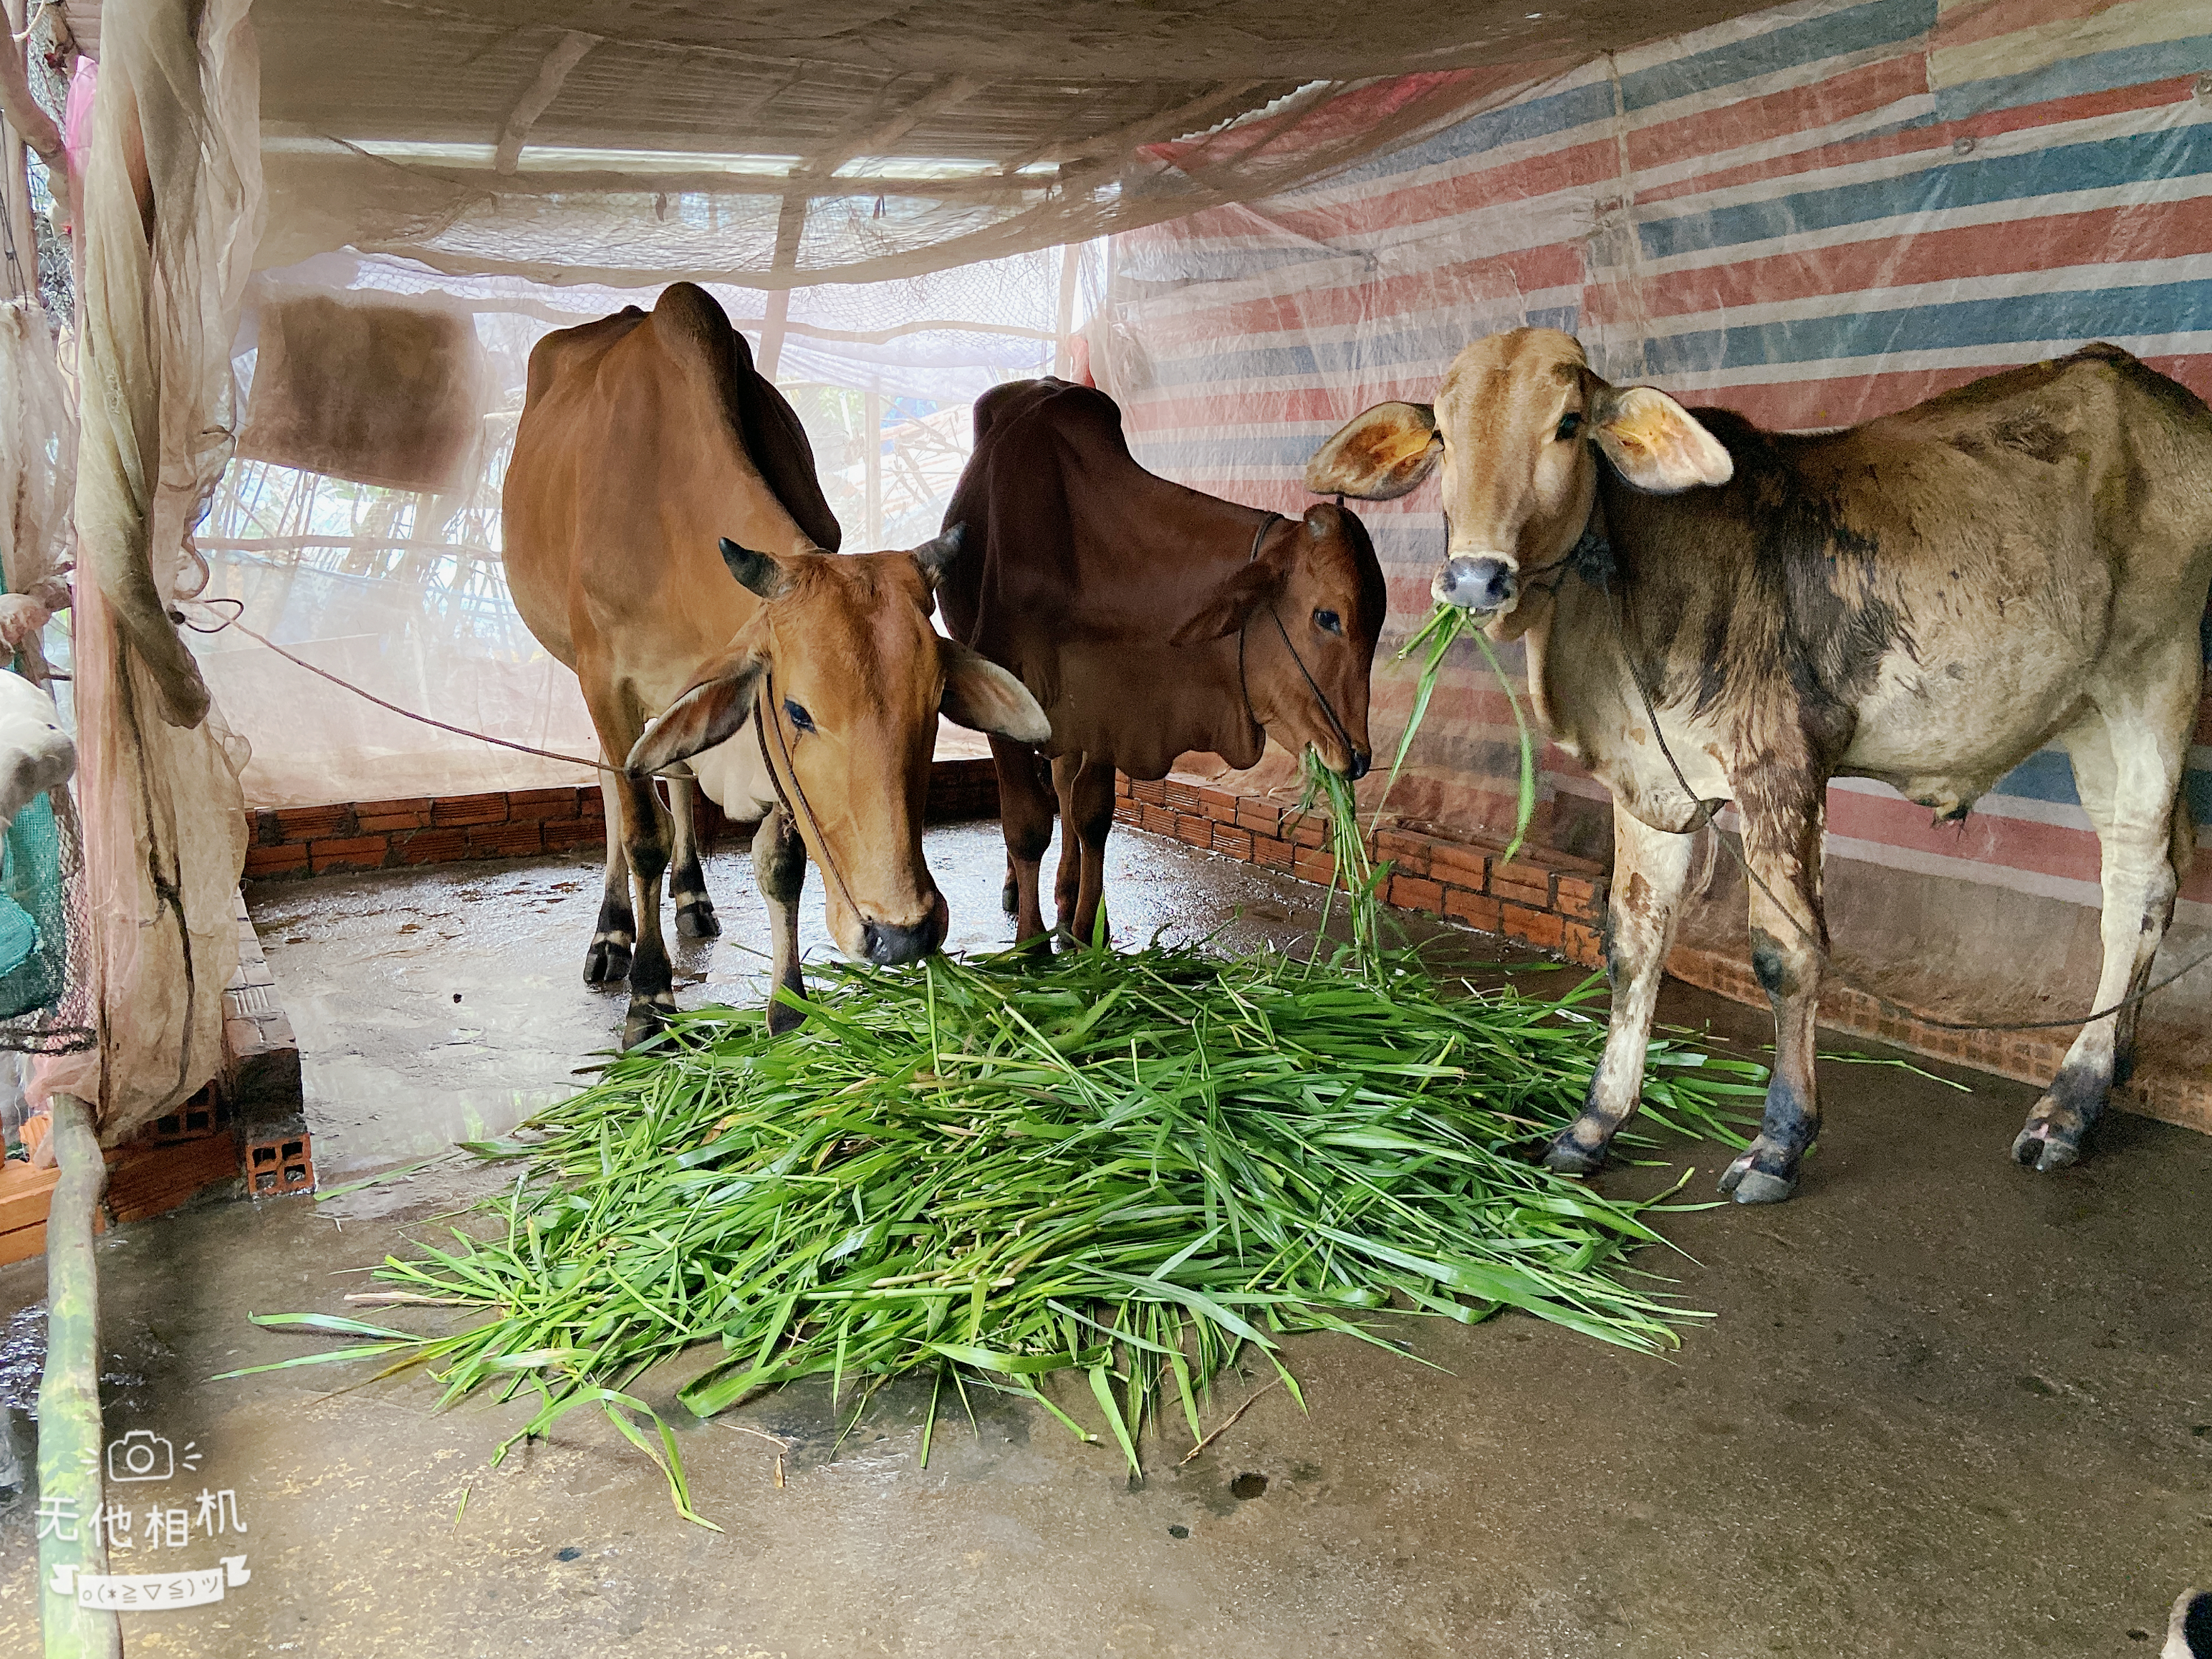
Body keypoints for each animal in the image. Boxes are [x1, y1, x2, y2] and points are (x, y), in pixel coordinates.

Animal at [506, 279, 1048, 1044]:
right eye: (799, 710)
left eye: (936, 704)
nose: (903, 934)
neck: (666, 509)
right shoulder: (606, 681)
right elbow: (642, 834)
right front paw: (649, 996)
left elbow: (782, 863)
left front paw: (788, 1007)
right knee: (619, 790)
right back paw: (613, 935)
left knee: (674, 775)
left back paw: (692, 898)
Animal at [942, 380, 1389, 946]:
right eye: (1328, 617)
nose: (1357, 758)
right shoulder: (1008, 700)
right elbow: (1026, 825)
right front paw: (1030, 943)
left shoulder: (1108, 706)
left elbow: (1092, 815)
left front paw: (1089, 928)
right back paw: (1016, 891)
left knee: (1064, 785)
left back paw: (1065, 896)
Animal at [1309, 327, 2212, 1212]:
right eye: (1442, 432)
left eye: (1567, 424)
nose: (1474, 578)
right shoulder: (1649, 783)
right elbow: (1632, 942)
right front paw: (1592, 1126)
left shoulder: (1779, 766)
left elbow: (1785, 954)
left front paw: (1778, 1143)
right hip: (2089, 715)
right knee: (2144, 878)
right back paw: (2103, 1074)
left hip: (2151, 683)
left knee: (2139, 887)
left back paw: (2068, 1105)